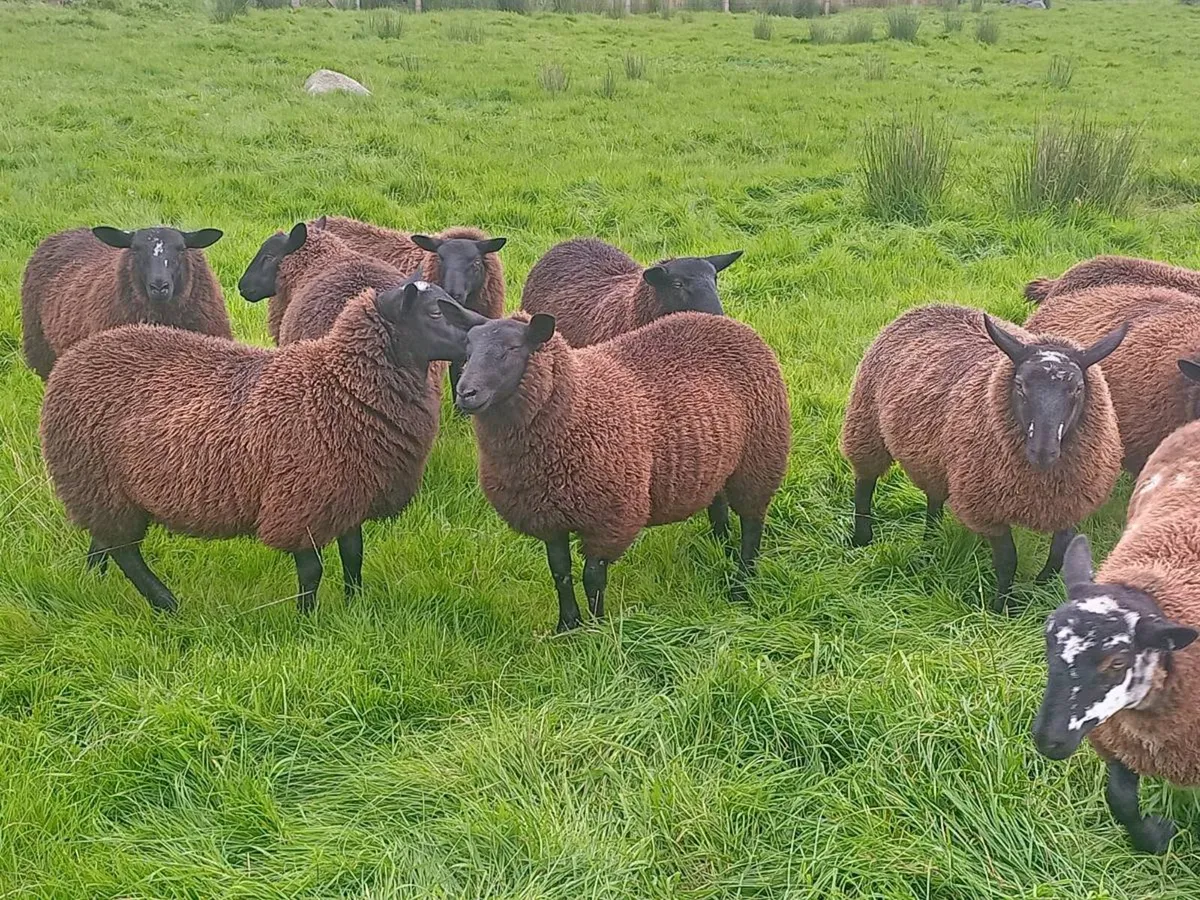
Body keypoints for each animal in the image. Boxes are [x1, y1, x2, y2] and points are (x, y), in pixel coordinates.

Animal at [40, 279, 486, 614]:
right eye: (433, 313)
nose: (485, 332)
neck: (337, 384)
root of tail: (73, 357)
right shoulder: (300, 501)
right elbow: (312, 569)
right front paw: (308, 620)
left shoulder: (349, 492)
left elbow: (354, 555)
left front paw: (354, 605)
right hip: (95, 478)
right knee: (125, 551)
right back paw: (167, 603)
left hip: (107, 490)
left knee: (105, 542)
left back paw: (94, 583)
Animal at [453, 310, 790, 633]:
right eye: (467, 350)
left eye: (511, 349)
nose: (465, 393)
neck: (578, 406)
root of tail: (731, 324)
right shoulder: (548, 516)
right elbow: (560, 573)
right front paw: (567, 627)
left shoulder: (610, 518)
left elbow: (592, 578)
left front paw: (598, 630)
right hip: (717, 460)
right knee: (718, 505)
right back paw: (722, 547)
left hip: (760, 458)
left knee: (752, 525)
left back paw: (742, 585)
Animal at [840, 305, 1127, 612]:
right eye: (1020, 385)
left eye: (1077, 389)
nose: (1043, 451)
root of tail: (934, 305)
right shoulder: (986, 507)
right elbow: (1007, 561)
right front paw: (1001, 608)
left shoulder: (1071, 505)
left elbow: (1059, 553)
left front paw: (1038, 586)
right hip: (866, 421)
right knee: (865, 483)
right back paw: (862, 538)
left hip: (934, 456)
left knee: (934, 496)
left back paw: (930, 539)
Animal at [1032, 422, 1200, 854]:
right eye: (1047, 644)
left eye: (1118, 662)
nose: (1049, 741)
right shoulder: (1119, 744)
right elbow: (1119, 801)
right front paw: (1156, 837)